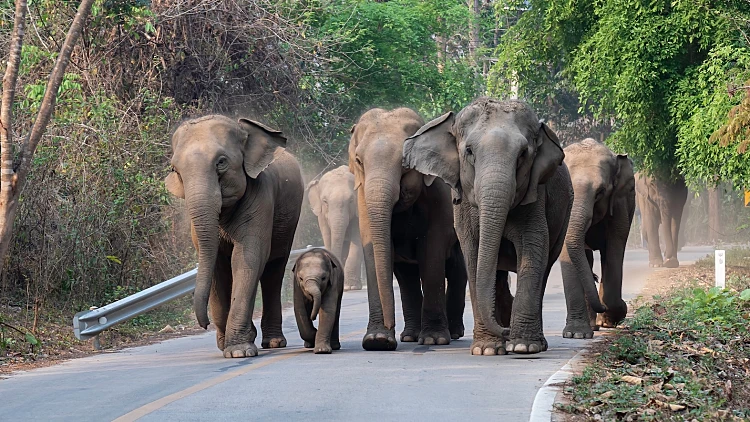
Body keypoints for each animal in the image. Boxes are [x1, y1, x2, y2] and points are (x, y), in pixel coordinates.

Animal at [166, 114, 304, 356]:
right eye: (175, 170)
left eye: (221, 162)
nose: (204, 324)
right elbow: (216, 264)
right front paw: (228, 344)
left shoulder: (262, 196)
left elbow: (247, 258)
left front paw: (239, 350)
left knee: (274, 269)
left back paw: (273, 342)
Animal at [350, 107, 468, 352]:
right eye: (358, 161)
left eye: (405, 164)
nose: (389, 327)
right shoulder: (362, 198)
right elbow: (373, 250)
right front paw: (376, 340)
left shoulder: (438, 198)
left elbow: (431, 254)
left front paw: (434, 340)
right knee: (407, 276)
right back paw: (410, 336)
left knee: (456, 267)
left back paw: (453, 333)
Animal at [402, 98, 608, 356]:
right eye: (469, 151)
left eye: (523, 154)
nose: (507, 332)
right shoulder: (464, 206)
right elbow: (474, 255)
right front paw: (487, 349)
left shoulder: (535, 196)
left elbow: (533, 248)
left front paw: (523, 346)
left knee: (544, 267)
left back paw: (536, 342)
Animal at [560, 140, 636, 338]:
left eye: (600, 192)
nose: (595, 278)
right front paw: (576, 334)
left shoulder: (619, 203)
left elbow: (613, 249)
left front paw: (612, 317)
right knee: (587, 258)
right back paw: (592, 326)